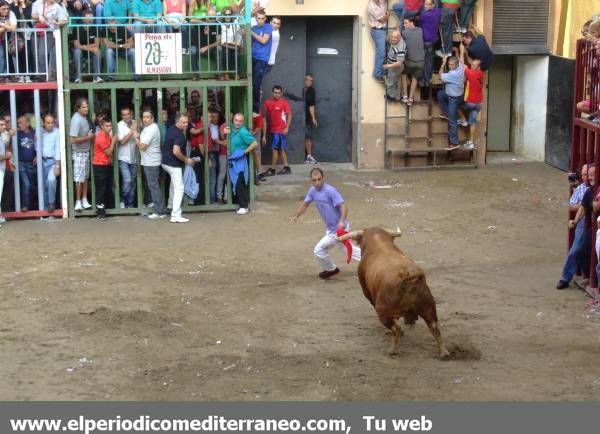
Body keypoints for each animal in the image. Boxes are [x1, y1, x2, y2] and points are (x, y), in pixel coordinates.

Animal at [340, 225, 448, 358]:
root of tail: (407, 275)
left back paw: (392, 350)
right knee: (434, 327)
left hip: (383, 311)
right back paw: (444, 352)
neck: (379, 242)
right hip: (428, 307)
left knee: (396, 328)